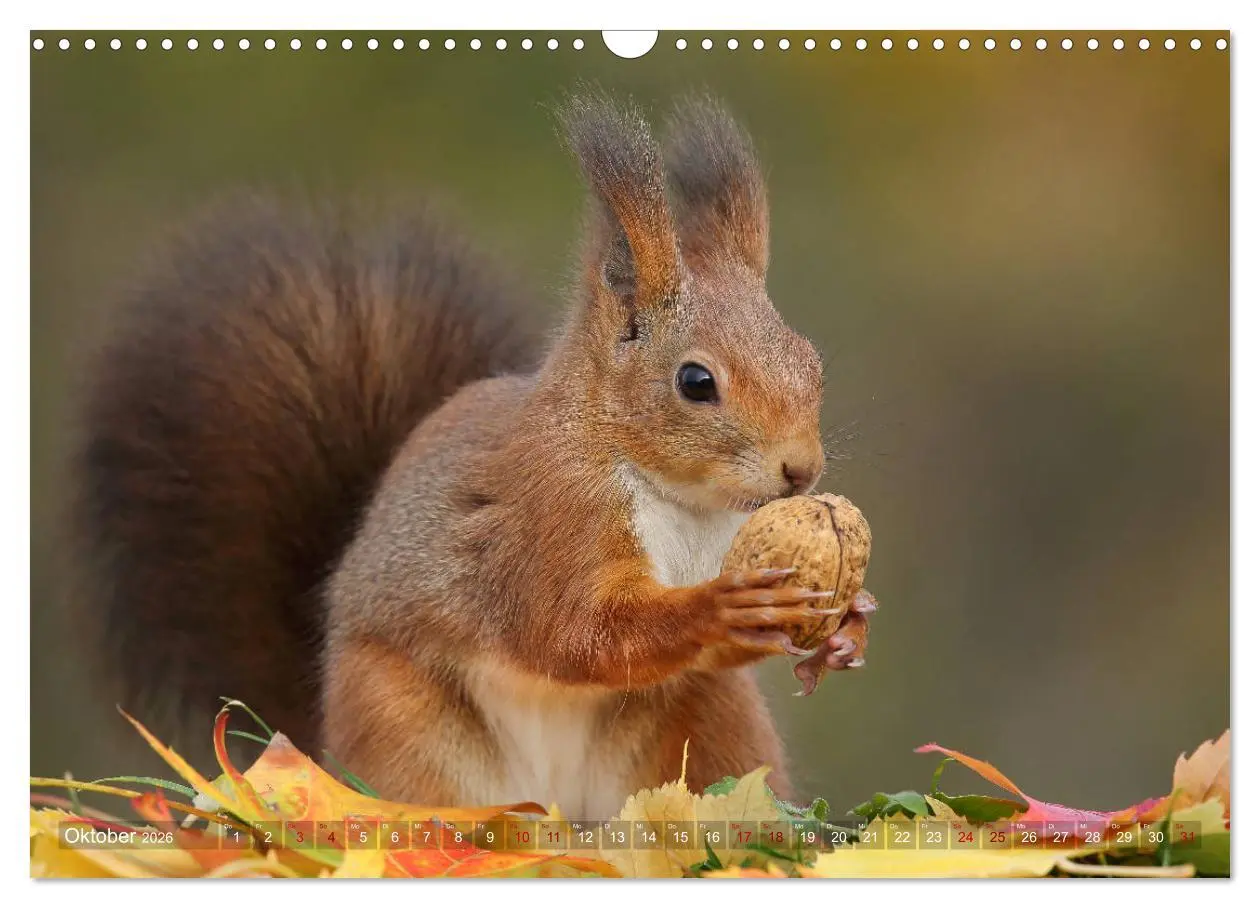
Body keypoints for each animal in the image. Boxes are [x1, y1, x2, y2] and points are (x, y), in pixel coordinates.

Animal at [71, 92, 874, 818]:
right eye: (696, 382)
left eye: (812, 362)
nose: (801, 471)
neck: (680, 500)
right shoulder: (549, 524)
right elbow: (576, 632)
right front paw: (721, 607)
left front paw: (849, 625)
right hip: (402, 727)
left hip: (711, 725)